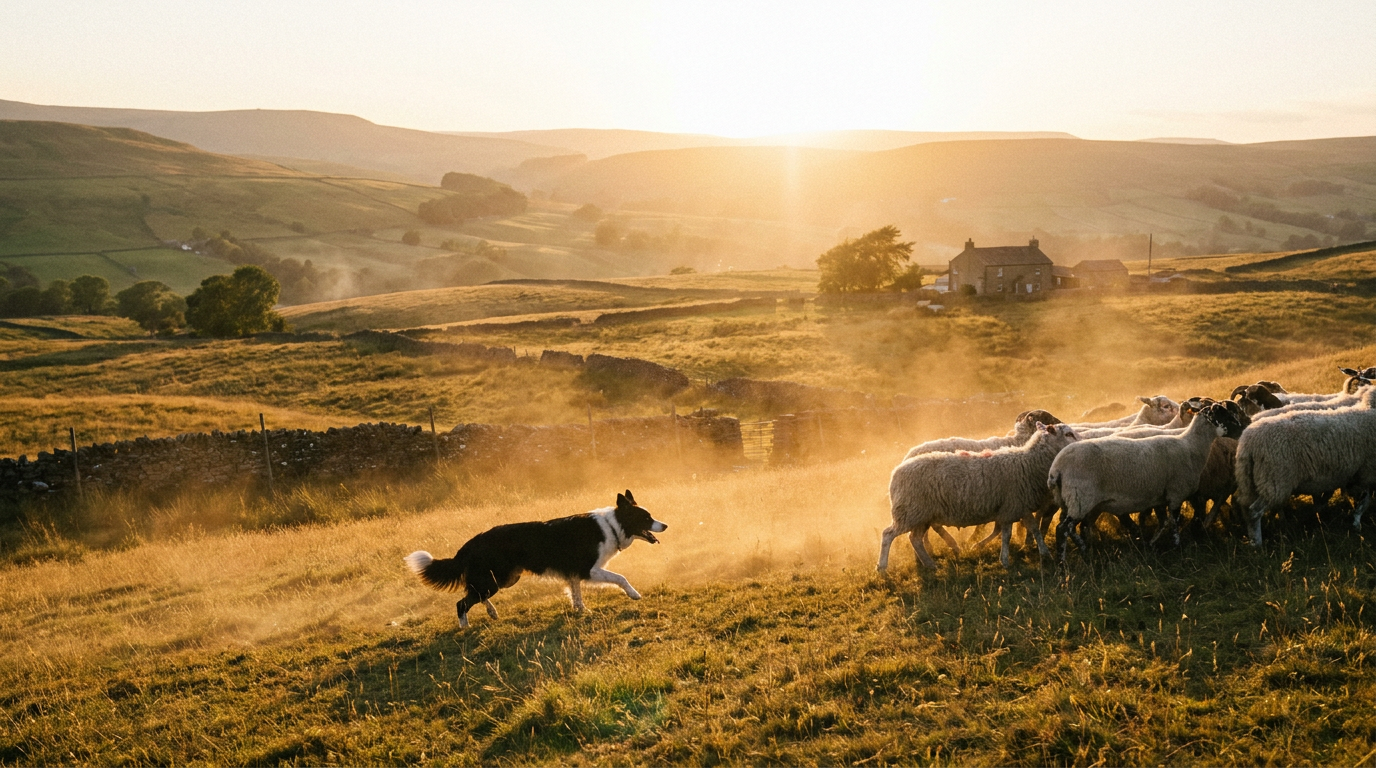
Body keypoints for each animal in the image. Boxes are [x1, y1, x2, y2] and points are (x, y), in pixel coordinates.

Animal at [878, 423, 1079, 572]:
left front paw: (1044, 553)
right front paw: (1005, 560)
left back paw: (930, 564)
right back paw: (882, 568)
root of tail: (896, 471)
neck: (1028, 462)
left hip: (921, 515)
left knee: (915, 539)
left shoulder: (1018, 506)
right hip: (909, 511)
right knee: (888, 534)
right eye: (1068, 434)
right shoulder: (1011, 506)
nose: (1081, 441)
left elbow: (1033, 529)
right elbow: (1007, 535)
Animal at [1048, 403, 1241, 566]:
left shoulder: (1161, 497)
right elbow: (1174, 522)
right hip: (1080, 499)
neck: (1191, 447)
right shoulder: (1176, 494)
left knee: (1075, 527)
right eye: (1225, 415)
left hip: (1074, 501)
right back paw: (1062, 565)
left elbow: (1164, 522)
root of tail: (1056, 468)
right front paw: (1176, 547)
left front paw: (1150, 544)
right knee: (1062, 529)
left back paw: (1085, 551)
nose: (1241, 429)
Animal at [1233, 382, 1376, 547]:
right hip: (1274, 481)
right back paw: (1258, 544)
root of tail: (1247, 443)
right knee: (1254, 512)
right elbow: (1364, 502)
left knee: (1245, 508)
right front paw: (1356, 524)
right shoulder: (1368, 471)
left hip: (1248, 481)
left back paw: (1253, 539)